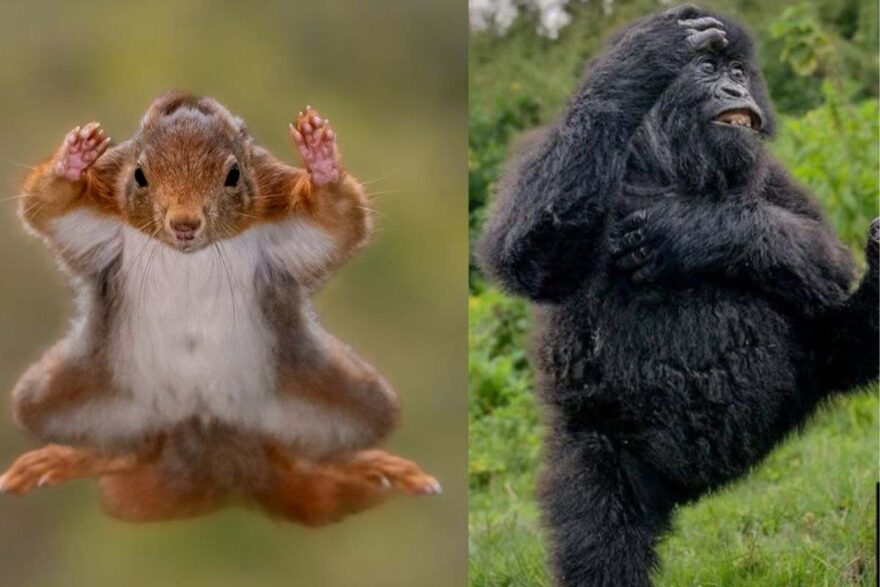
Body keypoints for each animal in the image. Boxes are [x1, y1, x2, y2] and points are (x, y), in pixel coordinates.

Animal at [0, 91, 440, 525]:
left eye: (233, 175)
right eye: (139, 175)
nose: (184, 224)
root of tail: (210, 438)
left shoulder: (279, 213)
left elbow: (338, 223)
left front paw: (322, 162)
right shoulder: (100, 214)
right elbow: (48, 209)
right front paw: (72, 161)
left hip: (344, 396)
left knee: (305, 456)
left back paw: (367, 465)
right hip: (69, 393)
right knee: (129, 450)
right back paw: (67, 458)